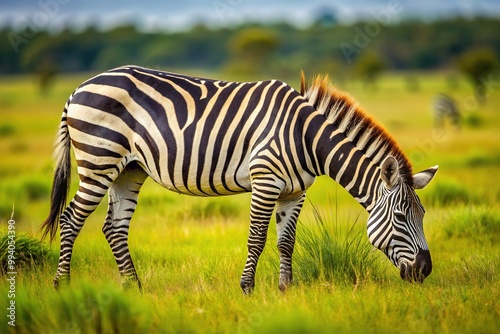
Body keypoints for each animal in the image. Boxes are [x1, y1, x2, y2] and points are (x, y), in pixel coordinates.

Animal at [41, 66, 440, 292]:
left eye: (422, 216)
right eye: (401, 217)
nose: (425, 271)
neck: (306, 136)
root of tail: (78, 88)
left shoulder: (295, 192)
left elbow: (286, 242)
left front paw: (285, 289)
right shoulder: (265, 180)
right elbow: (257, 238)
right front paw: (247, 288)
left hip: (129, 169)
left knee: (114, 227)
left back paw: (133, 286)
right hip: (98, 159)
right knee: (72, 219)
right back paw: (62, 285)